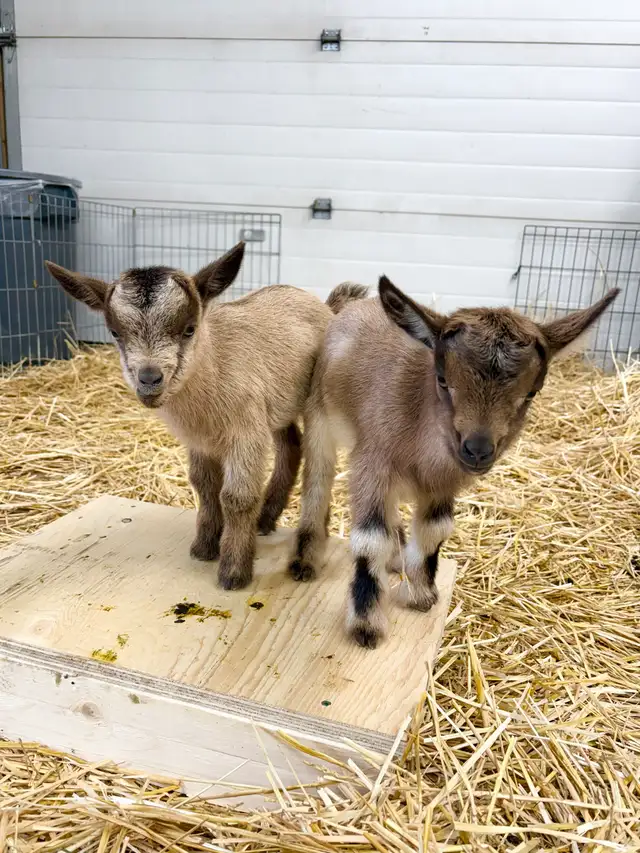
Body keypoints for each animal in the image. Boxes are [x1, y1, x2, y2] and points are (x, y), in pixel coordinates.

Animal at [46, 244, 367, 591]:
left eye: (189, 329)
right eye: (115, 333)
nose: (149, 379)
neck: (213, 368)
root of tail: (326, 306)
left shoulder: (245, 432)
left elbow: (237, 497)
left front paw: (234, 571)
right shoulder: (201, 439)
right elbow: (204, 486)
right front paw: (204, 547)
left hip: (315, 400)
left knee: (318, 466)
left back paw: (310, 543)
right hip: (278, 406)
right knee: (291, 446)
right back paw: (267, 519)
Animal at [289, 276, 620, 648]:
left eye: (531, 393)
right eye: (443, 380)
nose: (477, 449)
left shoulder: (441, 485)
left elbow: (434, 531)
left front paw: (421, 595)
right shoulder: (372, 464)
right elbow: (371, 539)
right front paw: (366, 626)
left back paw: (395, 558)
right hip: (319, 419)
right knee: (317, 483)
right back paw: (305, 560)